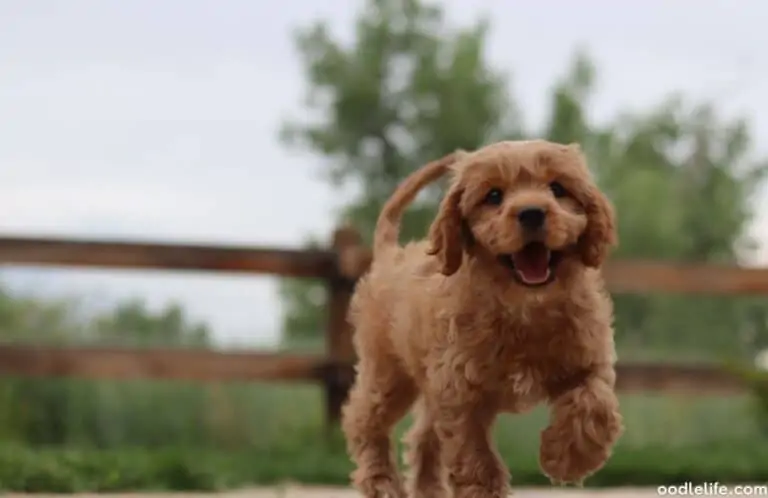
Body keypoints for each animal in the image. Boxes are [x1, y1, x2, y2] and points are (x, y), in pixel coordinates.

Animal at [342, 139, 624, 498]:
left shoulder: (589, 361)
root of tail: (390, 255)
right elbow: (474, 455)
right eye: (493, 196)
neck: (525, 308)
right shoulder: (460, 390)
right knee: (364, 420)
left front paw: (568, 459)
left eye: (558, 188)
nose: (532, 212)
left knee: (423, 435)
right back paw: (382, 483)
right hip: (388, 372)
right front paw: (485, 490)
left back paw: (428, 490)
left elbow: (595, 403)